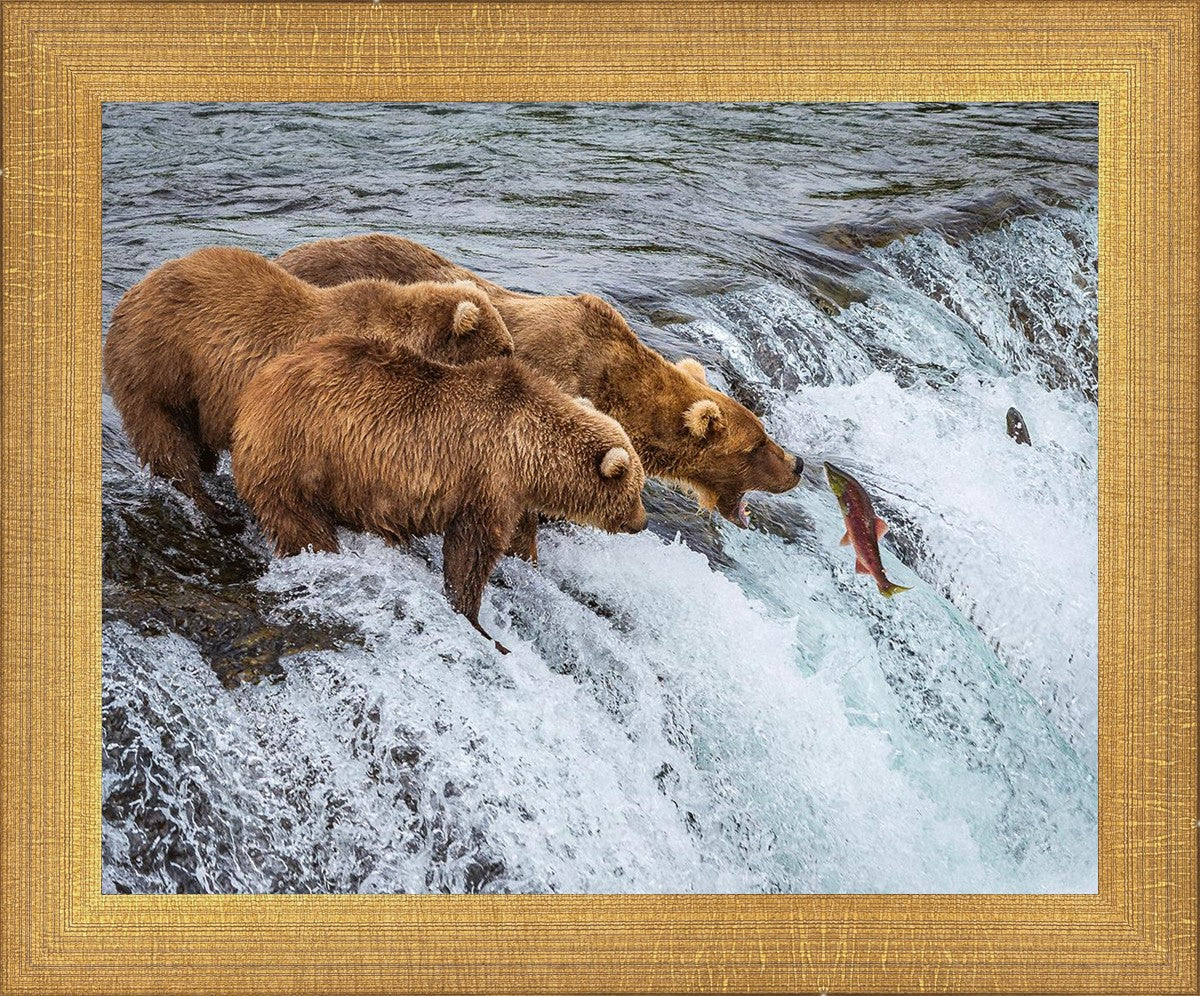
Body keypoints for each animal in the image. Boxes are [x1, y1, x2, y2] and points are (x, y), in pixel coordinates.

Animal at [103, 246, 513, 527]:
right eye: (504, 349)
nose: (516, 364)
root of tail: (130, 294)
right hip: (161, 364)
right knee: (166, 438)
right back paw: (213, 508)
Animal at [230, 331, 648, 653]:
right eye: (636, 489)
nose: (642, 522)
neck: (530, 453)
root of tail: (254, 391)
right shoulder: (487, 479)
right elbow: (471, 552)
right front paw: (478, 622)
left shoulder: (513, 494)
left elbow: (517, 539)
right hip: (299, 456)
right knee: (301, 524)